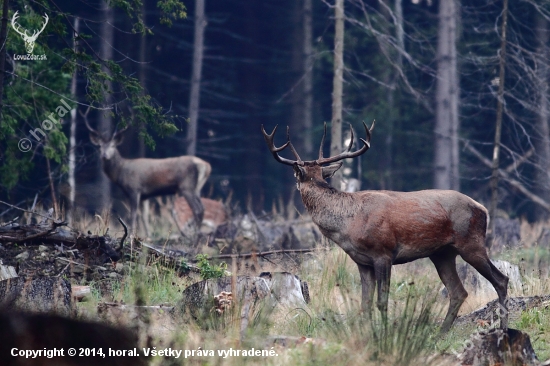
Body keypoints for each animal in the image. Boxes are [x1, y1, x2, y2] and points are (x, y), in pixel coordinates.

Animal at [260, 122, 512, 332]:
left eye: (297, 176)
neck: (348, 224)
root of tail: (483, 209)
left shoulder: (384, 253)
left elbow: (382, 301)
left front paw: (383, 333)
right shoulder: (362, 262)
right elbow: (365, 303)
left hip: (471, 243)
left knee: (501, 280)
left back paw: (503, 327)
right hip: (442, 253)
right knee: (458, 291)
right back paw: (441, 332)